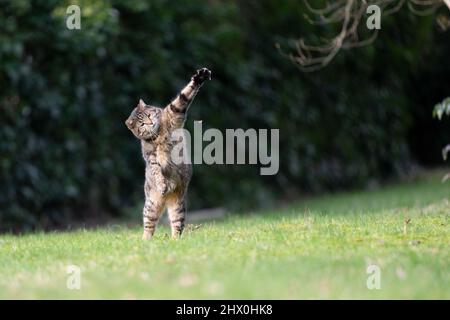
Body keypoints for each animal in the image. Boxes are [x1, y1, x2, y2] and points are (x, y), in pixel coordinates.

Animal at [125, 67, 212, 239]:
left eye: (149, 115)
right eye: (142, 124)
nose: (150, 122)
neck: (158, 133)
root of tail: (165, 201)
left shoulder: (175, 111)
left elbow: (184, 96)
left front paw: (200, 76)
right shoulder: (151, 157)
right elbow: (156, 170)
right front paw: (162, 184)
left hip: (178, 206)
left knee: (176, 225)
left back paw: (175, 240)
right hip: (150, 206)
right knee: (149, 225)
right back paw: (145, 240)